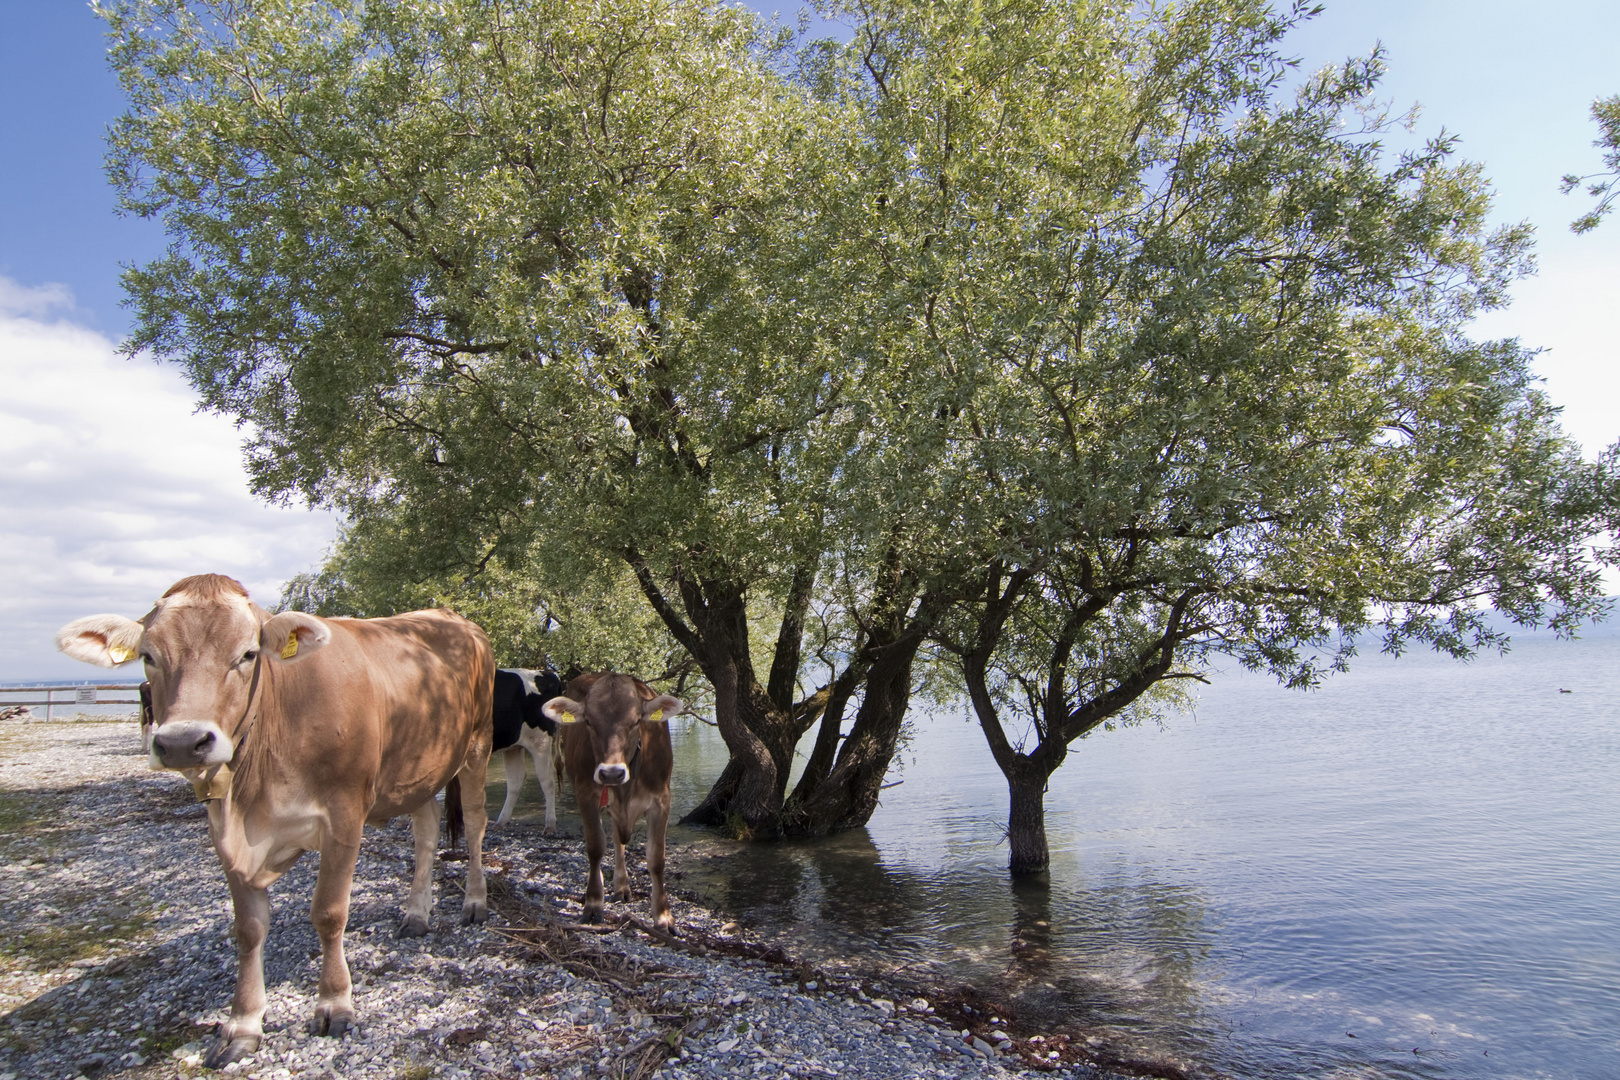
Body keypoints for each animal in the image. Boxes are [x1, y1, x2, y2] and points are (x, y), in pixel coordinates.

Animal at [55, 579, 492, 1068]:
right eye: (148, 656)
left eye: (247, 654)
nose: (184, 742)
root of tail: (451, 616)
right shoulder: (223, 829)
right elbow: (248, 929)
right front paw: (242, 1024)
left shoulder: (344, 816)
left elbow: (328, 912)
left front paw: (335, 1004)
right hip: (419, 767)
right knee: (426, 828)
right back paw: (417, 913)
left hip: (476, 745)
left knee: (475, 822)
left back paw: (474, 901)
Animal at [489, 667, 567, 835]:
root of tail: (547, 673)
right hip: (513, 746)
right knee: (515, 779)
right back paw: (501, 822)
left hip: (540, 741)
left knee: (547, 778)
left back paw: (550, 825)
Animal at [541, 667, 673, 932]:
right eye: (588, 722)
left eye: (636, 721)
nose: (611, 773)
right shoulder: (586, 795)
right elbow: (595, 847)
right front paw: (593, 903)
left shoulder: (661, 800)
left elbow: (656, 858)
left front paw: (663, 915)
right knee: (612, 840)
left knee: (618, 840)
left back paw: (622, 886)